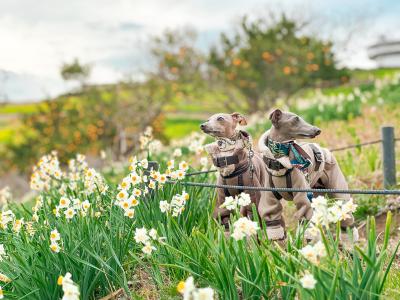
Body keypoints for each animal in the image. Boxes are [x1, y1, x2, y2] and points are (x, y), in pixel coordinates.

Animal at [258, 109, 358, 240]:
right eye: (295, 119)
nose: (318, 130)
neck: (280, 163)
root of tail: (325, 150)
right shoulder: (269, 199)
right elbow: (273, 222)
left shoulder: (302, 195)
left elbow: (304, 217)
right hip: (316, 193)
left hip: (337, 190)